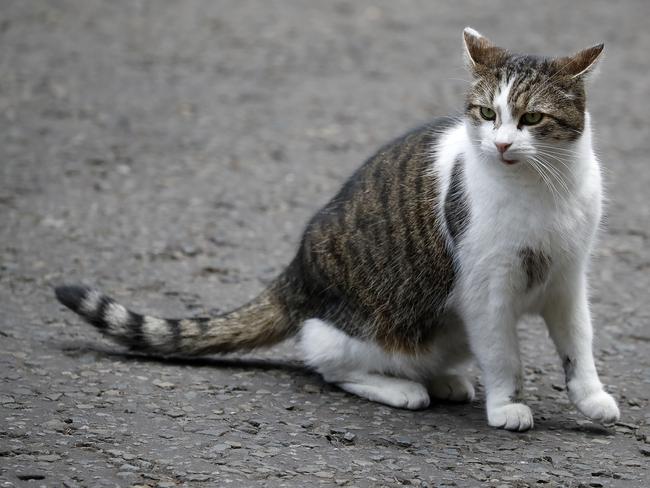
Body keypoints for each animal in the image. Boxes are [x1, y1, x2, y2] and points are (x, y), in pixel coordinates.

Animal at [54, 27, 616, 430]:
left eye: (531, 118)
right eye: (485, 112)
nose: (500, 144)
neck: (543, 189)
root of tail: (296, 272)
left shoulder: (569, 279)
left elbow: (579, 346)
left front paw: (592, 399)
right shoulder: (487, 288)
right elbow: (503, 355)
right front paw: (506, 407)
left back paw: (445, 379)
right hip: (370, 330)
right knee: (325, 358)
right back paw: (403, 388)